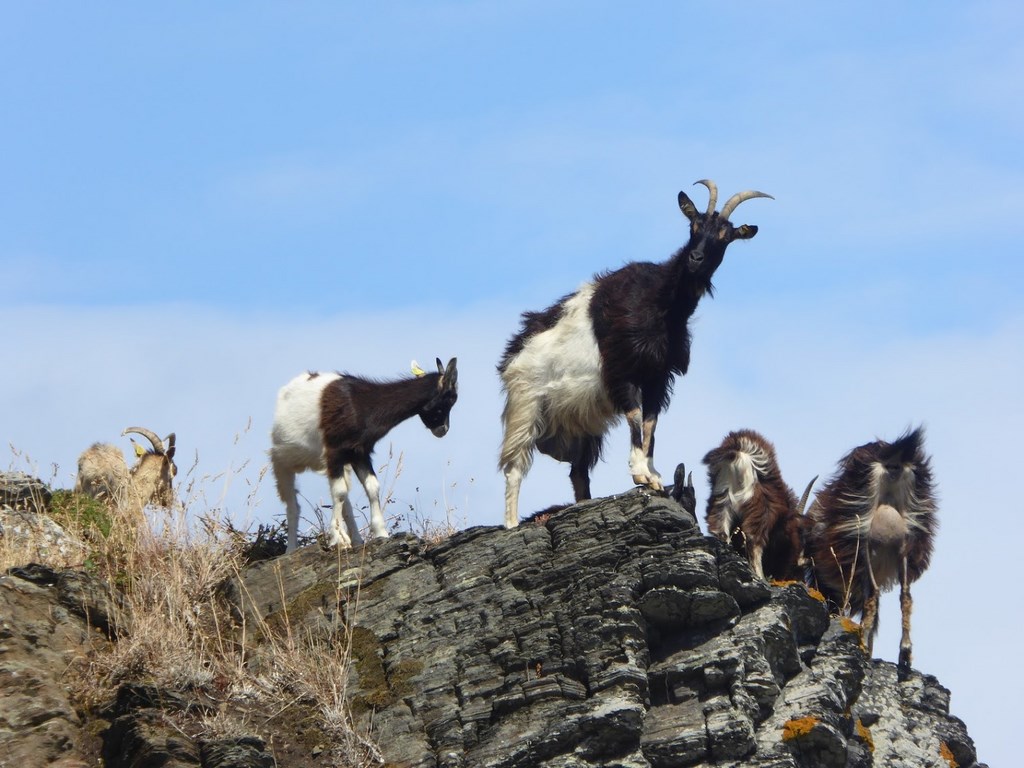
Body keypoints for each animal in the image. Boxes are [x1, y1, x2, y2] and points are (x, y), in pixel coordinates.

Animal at [274, 358, 462, 557]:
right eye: (450, 398)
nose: (443, 430)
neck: (361, 407)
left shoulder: (359, 454)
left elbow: (371, 487)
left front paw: (381, 532)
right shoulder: (334, 452)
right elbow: (339, 493)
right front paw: (336, 539)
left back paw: (355, 540)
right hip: (282, 460)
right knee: (293, 503)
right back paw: (291, 549)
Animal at [493, 180, 770, 528]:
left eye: (725, 236)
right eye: (693, 226)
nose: (695, 258)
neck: (661, 302)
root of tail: (514, 350)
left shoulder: (658, 376)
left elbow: (651, 423)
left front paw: (652, 475)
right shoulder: (623, 369)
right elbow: (636, 418)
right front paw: (640, 474)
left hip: (579, 423)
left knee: (578, 474)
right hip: (525, 405)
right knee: (514, 466)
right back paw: (512, 523)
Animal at [700, 428, 811, 581]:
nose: (798, 578)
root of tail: (740, 453)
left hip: (721, 499)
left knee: (720, 531)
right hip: (758, 509)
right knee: (754, 543)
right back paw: (760, 577)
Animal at [802, 428, 937, 679]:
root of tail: (893, 458)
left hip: (864, 542)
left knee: (872, 596)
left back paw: (865, 647)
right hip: (906, 542)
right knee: (905, 595)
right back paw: (905, 655)